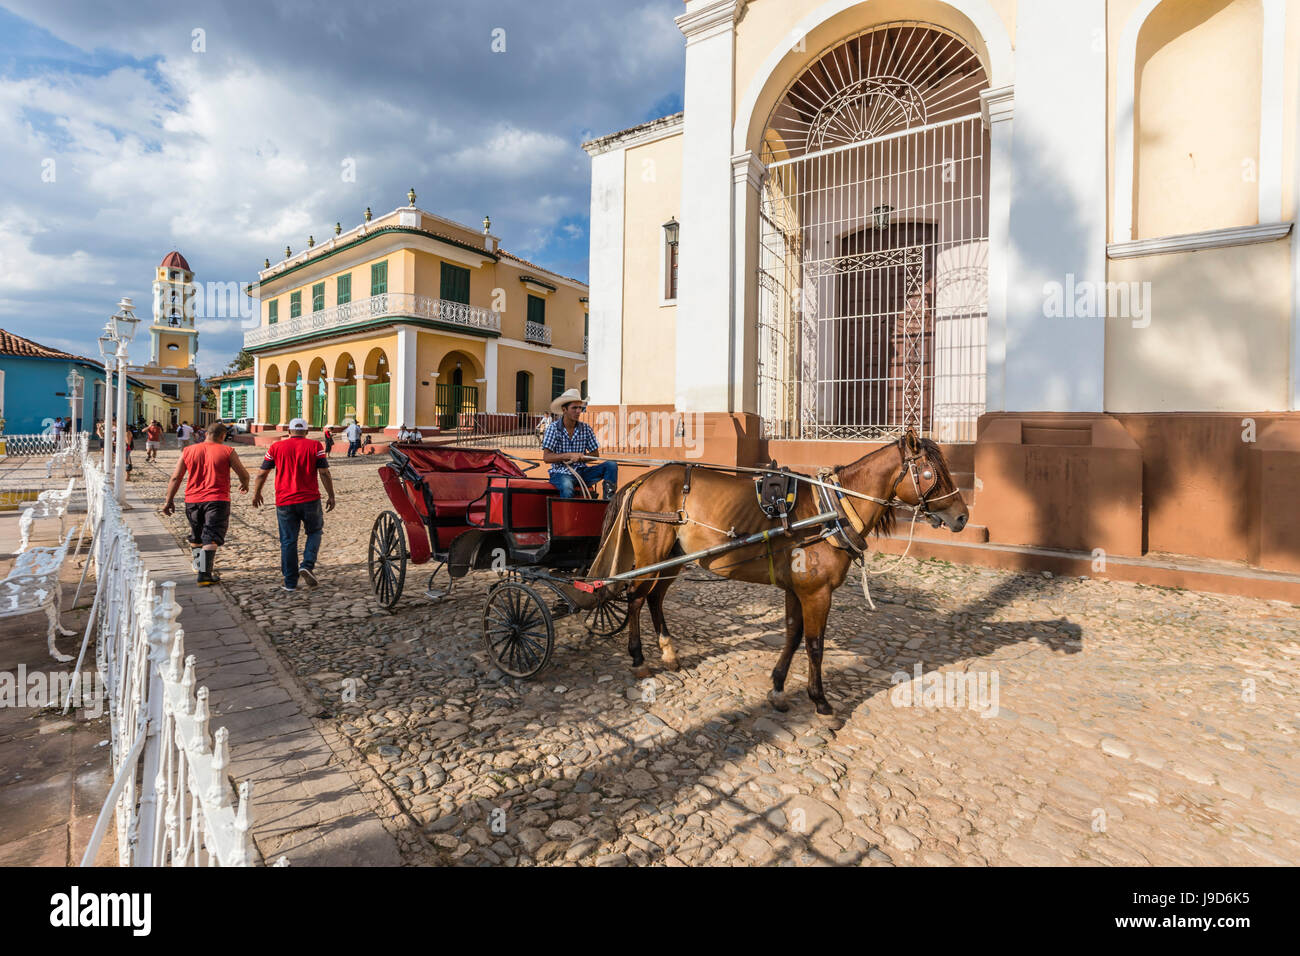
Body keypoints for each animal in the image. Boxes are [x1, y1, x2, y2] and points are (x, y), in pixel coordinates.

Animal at [590, 431, 967, 717]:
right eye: (932, 474)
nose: (962, 516)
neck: (832, 510)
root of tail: (642, 479)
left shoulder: (796, 589)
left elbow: (792, 636)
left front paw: (778, 687)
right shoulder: (817, 592)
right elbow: (814, 645)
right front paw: (820, 702)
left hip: (673, 557)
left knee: (654, 598)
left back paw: (668, 652)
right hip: (651, 553)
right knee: (636, 598)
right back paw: (639, 658)